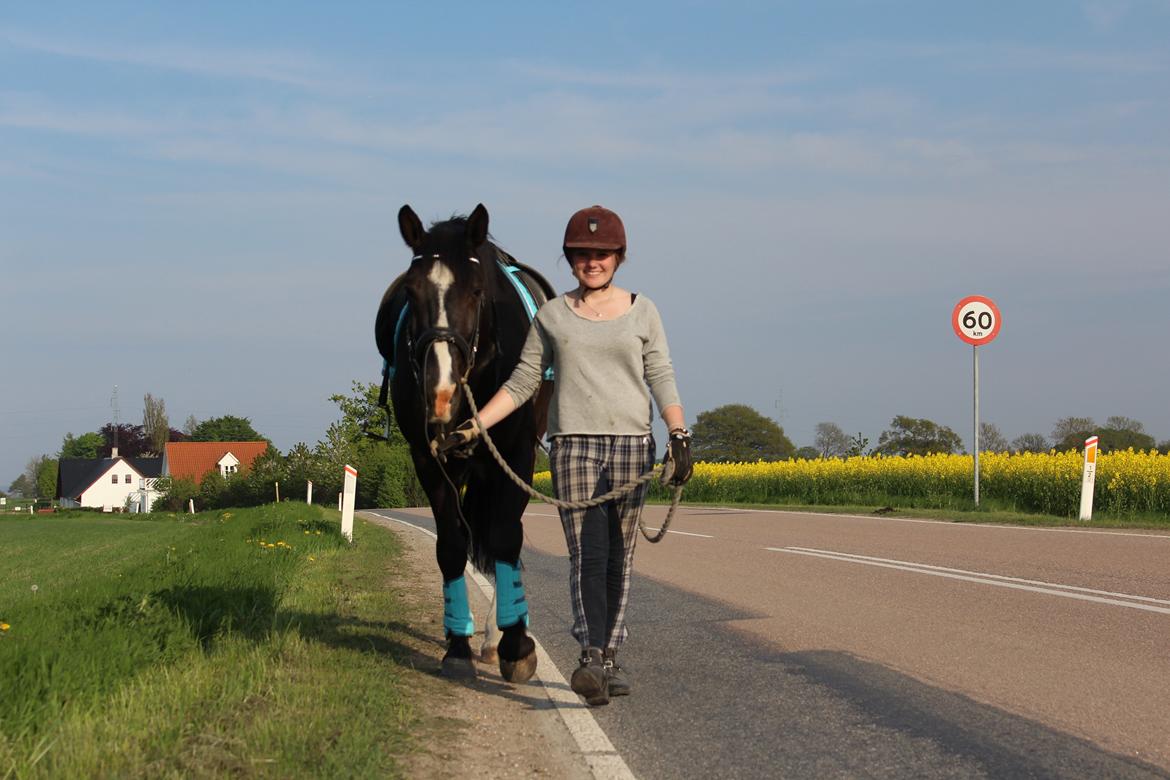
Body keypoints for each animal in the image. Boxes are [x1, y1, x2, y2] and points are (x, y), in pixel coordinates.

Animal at [376, 204, 554, 678]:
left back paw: (498, 636)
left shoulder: (517, 454)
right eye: (411, 292)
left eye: (476, 291)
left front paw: (516, 645)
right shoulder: (429, 459)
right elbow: (453, 546)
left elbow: (506, 537)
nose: (440, 394)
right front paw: (457, 645)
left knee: (500, 534)